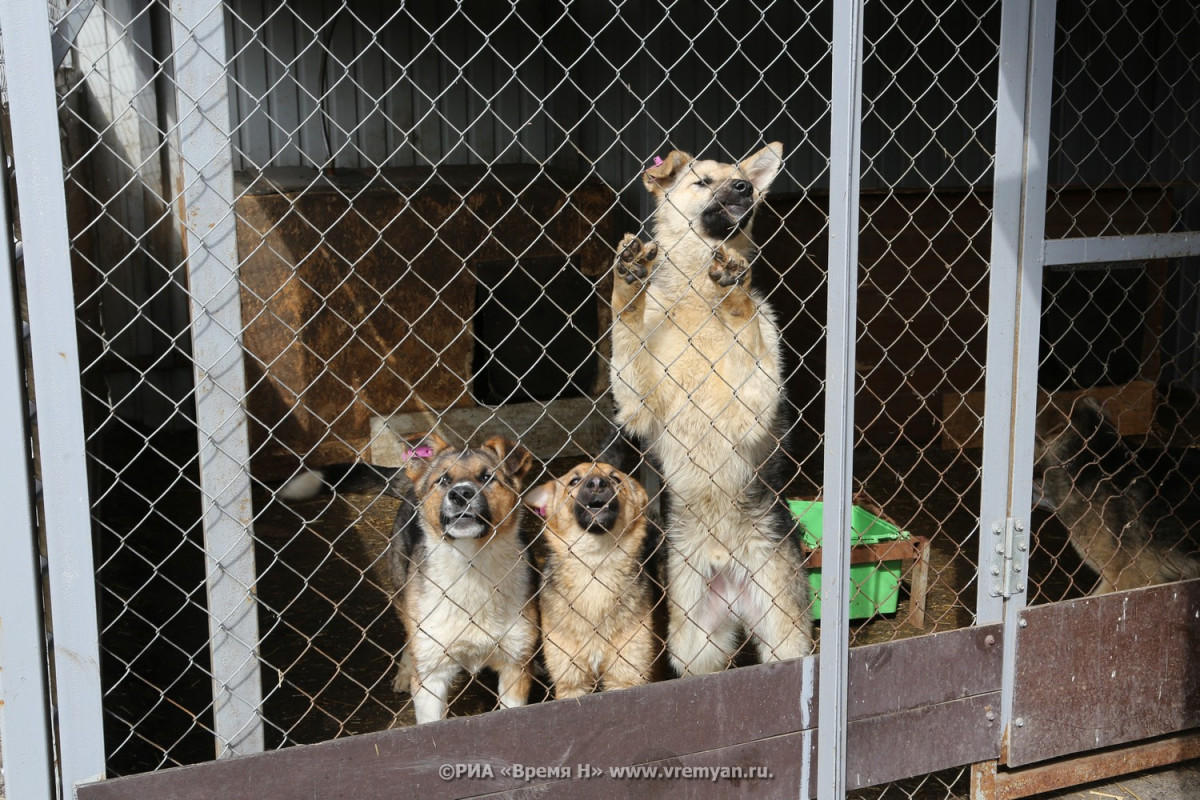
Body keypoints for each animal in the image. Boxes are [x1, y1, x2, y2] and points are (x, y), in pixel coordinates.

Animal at [609, 143, 816, 676]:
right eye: (702, 181)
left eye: (742, 179)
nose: (744, 187)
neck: (698, 302)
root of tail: (728, 569)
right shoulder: (637, 401)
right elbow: (626, 326)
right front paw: (629, 284)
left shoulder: (751, 403)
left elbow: (745, 322)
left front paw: (735, 288)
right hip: (692, 646)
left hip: (784, 635)